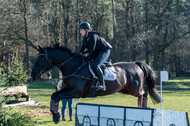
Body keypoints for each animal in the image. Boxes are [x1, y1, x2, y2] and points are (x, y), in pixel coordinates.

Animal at [30, 43, 160, 123]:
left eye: (40, 59)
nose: (33, 76)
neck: (73, 66)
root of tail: (136, 64)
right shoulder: (68, 89)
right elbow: (54, 95)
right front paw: (55, 115)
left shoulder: (76, 92)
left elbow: (58, 96)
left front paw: (56, 116)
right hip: (125, 90)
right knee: (143, 94)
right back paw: (140, 108)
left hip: (135, 89)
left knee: (145, 92)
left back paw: (144, 108)